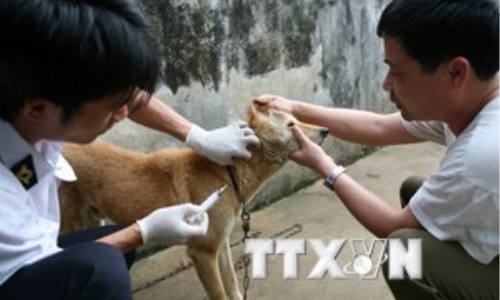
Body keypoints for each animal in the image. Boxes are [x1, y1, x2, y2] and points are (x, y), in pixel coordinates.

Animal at [59, 101, 328, 300]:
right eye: (292, 124)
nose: (326, 129)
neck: (227, 172)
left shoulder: (221, 245)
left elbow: (232, 284)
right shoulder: (202, 253)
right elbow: (219, 293)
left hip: (93, 219)